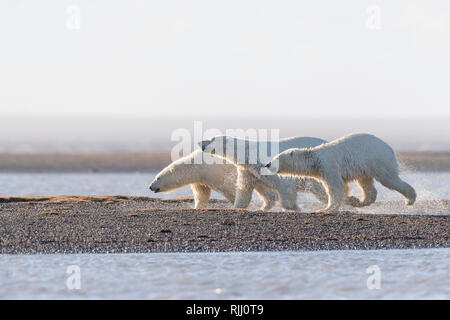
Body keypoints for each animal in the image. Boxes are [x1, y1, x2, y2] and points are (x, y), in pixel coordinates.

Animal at [200, 135, 330, 210]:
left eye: (211, 139)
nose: (200, 142)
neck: (249, 152)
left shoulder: (270, 164)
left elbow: (285, 185)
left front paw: (294, 208)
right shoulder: (248, 169)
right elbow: (244, 188)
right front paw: (238, 206)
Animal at [266, 132, 416, 212]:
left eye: (275, 158)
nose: (267, 164)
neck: (315, 159)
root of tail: (389, 147)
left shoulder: (329, 166)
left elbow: (334, 187)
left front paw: (325, 209)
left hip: (377, 159)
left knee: (389, 179)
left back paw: (410, 199)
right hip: (364, 166)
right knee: (366, 183)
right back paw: (361, 201)